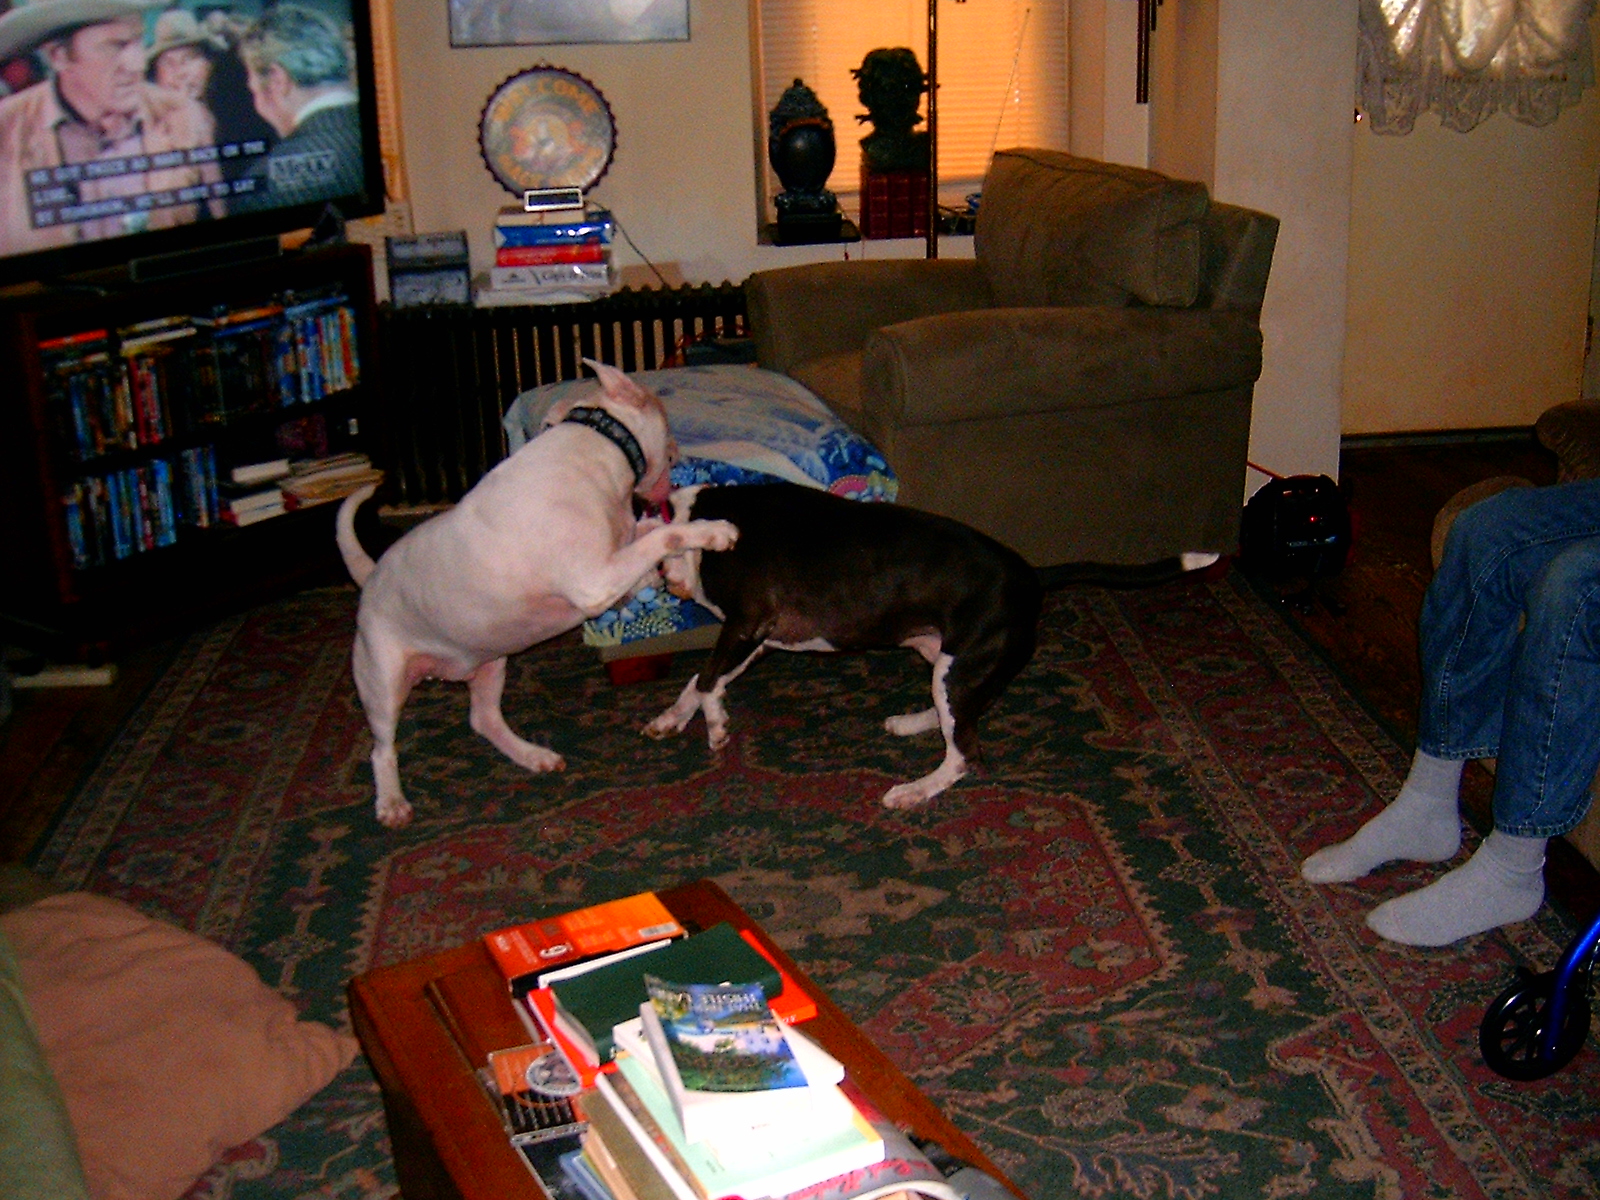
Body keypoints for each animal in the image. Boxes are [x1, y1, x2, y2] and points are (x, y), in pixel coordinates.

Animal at [336, 360, 738, 827]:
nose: (682, 457)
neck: (600, 443)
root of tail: (371, 576)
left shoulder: (614, 561)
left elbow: (650, 536)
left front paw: (665, 574)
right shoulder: (594, 579)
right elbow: (664, 535)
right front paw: (713, 531)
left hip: (491, 661)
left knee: (483, 719)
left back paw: (533, 757)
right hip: (382, 681)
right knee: (381, 747)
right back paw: (392, 803)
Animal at [644, 482, 1042, 808]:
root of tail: (1030, 581)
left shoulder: (747, 624)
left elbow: (709, 678)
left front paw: (715, 725)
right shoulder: (764, 638)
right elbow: (701, 678)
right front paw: (670, 719)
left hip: (960, 666)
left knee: (964, 752)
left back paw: (912, 791)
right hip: (944, 657)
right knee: (957, 715)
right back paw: (911, 722)